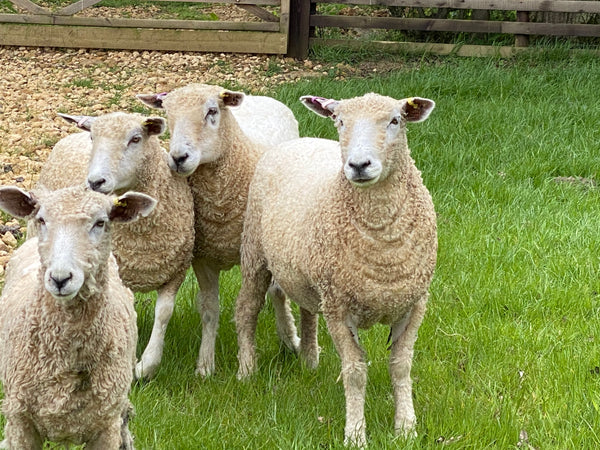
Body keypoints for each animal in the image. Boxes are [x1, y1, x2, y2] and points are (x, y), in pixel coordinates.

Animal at [36, 112, 196, 380]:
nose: (95, 181)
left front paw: (147, 365)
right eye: (93, 137)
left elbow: (164, 313)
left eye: (135, 139)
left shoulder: (176, 271)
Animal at [138, 83, 302, 376]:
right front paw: (205, 365)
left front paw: (247, 366)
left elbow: (248, 307)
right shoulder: (202, 258)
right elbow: (209, 310)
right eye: (168, 114)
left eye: (212, 111)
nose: (178, 158)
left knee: (277, 291)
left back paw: (290, 339)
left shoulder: (251, 256)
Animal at [233, 92, 436, 446]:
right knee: (246, 309)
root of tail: (297, 141)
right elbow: (354, 372)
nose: (358, 165)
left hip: (306, 272)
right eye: (340, 121)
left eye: (395, 120)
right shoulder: (339, 309)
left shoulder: (414, 303)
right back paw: (247, 370)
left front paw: (406, 428)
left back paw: (309, 359)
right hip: (255, 253)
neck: (383, 249)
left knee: (307, 309)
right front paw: (355, 434)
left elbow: (401, 366)